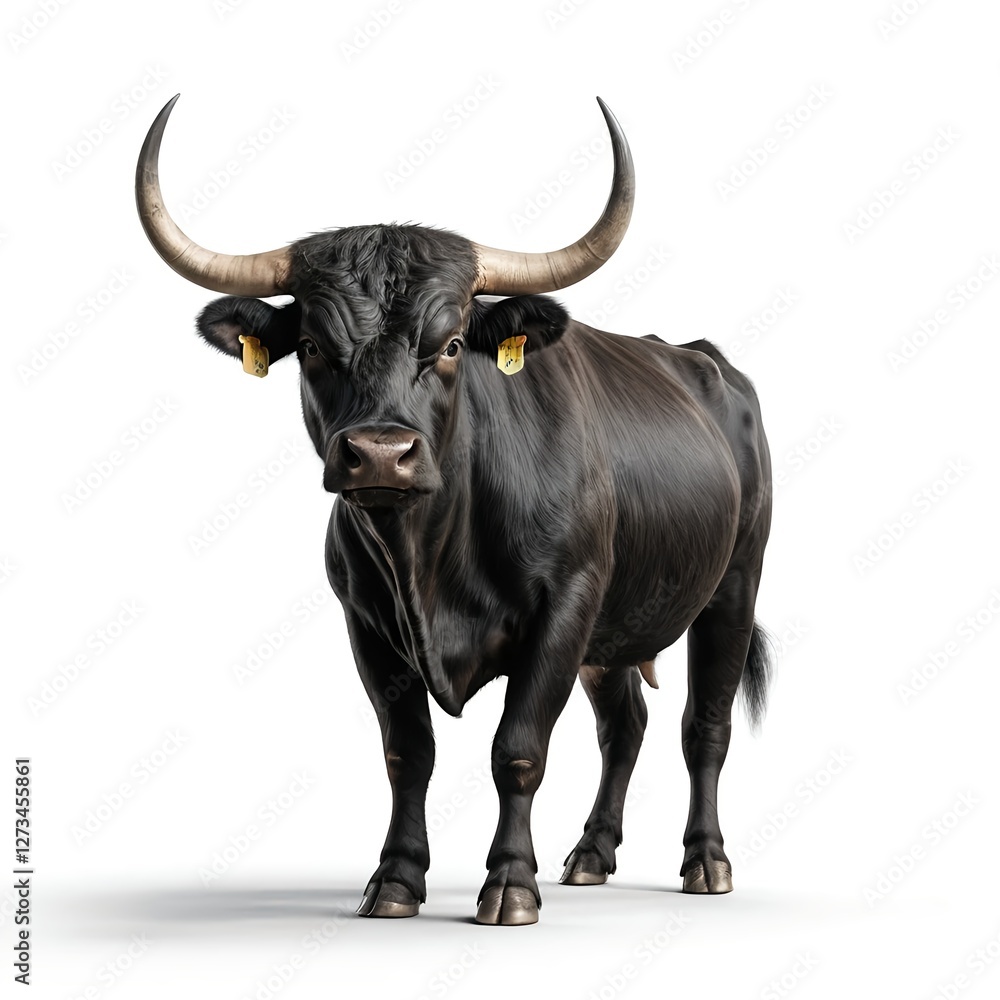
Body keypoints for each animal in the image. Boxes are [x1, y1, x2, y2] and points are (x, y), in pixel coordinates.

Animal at [136, 95, 773, 926]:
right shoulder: (368, 624)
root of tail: (706, 362)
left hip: (734, 584)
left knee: (705, 727)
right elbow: (409, 753)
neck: (433, 558)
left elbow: (519, 749)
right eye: (312, 345)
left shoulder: (564, 608)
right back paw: (590, 855)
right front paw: (396, 880)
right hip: (618, 624)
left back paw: (706, 861)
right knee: (623, 726)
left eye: (448, 345)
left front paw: (509, 884)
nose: (380, 454)